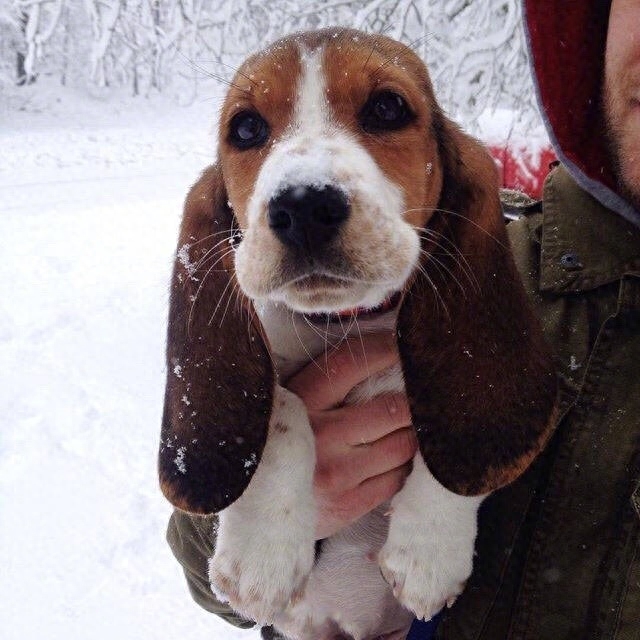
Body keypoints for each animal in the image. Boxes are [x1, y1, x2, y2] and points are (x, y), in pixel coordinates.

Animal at [161, 27, 560, 636]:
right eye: (246, 128)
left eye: (387, 108)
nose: (304, 205)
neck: (345, 322)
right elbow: (278, 407)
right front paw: (259, 556)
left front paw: (429, 556)